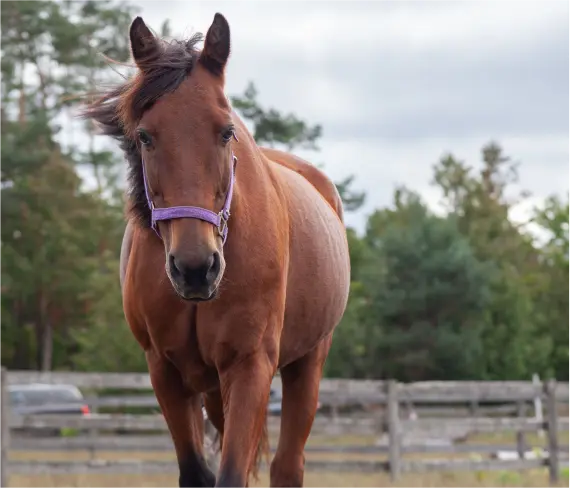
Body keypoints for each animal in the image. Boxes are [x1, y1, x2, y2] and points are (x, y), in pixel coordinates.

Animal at [81, 12, 348, 488]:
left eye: (226, 132)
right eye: (145, 136)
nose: (195, 268)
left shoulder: (250, 364)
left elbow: (232, 473)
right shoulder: (165, 370)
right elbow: (197, 471)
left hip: (308, 362)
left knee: (287, 465)